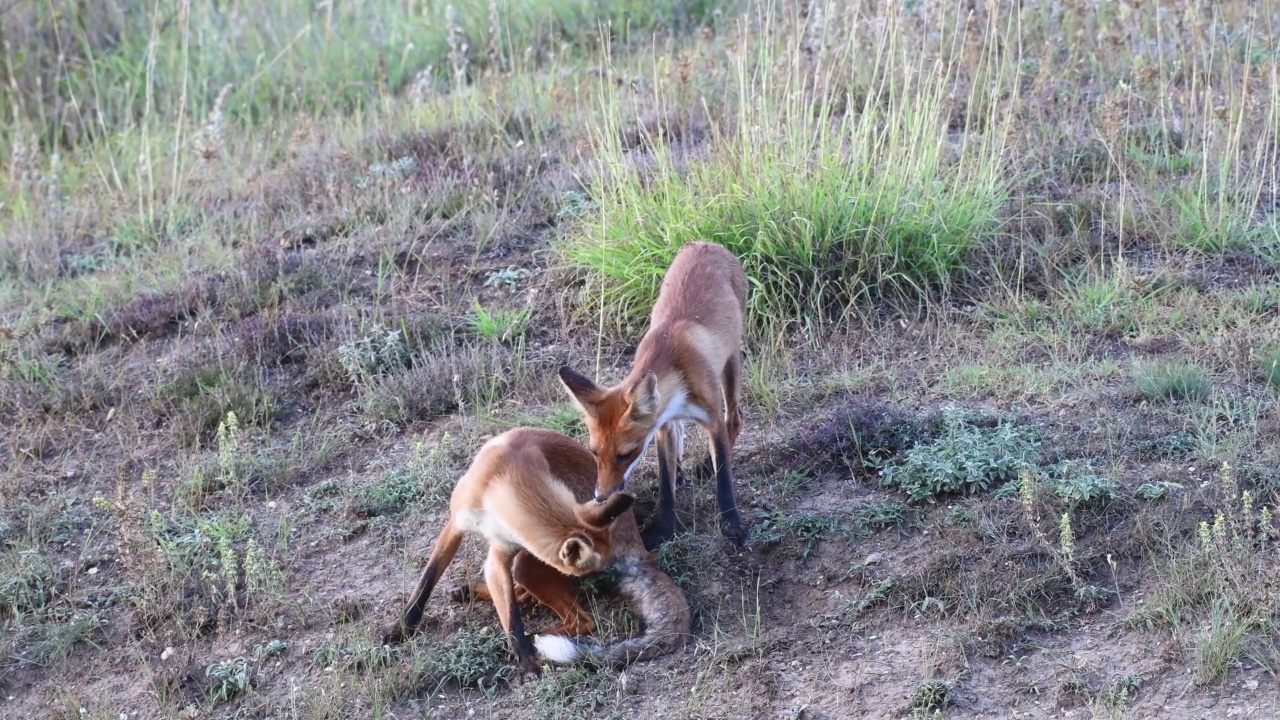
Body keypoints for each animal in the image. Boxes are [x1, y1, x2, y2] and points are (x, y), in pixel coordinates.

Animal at [381, 425, 691, 666]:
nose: (604, 572)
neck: (499, 482)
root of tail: (638, 547)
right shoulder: (457, 525)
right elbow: (427, 581)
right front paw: (402, 627)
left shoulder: (502, 549)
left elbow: (511, 616)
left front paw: (525, 655)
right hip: (527, 564)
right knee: (525, 596)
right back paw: (475, 594)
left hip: (528, 565)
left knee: (580, 620)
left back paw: (536, 638)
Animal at [560, 239, 747, 543]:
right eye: (594, 452)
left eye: (625, 454)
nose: (600, 497)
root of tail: (704, 243)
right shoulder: (661, 426)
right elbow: (664, 483)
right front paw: (664, 528)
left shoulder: (711, 419)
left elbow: (724, 478)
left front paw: (731, 523)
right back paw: (682, 472)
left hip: (731, 364)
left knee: (735, 420)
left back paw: (706, 466)